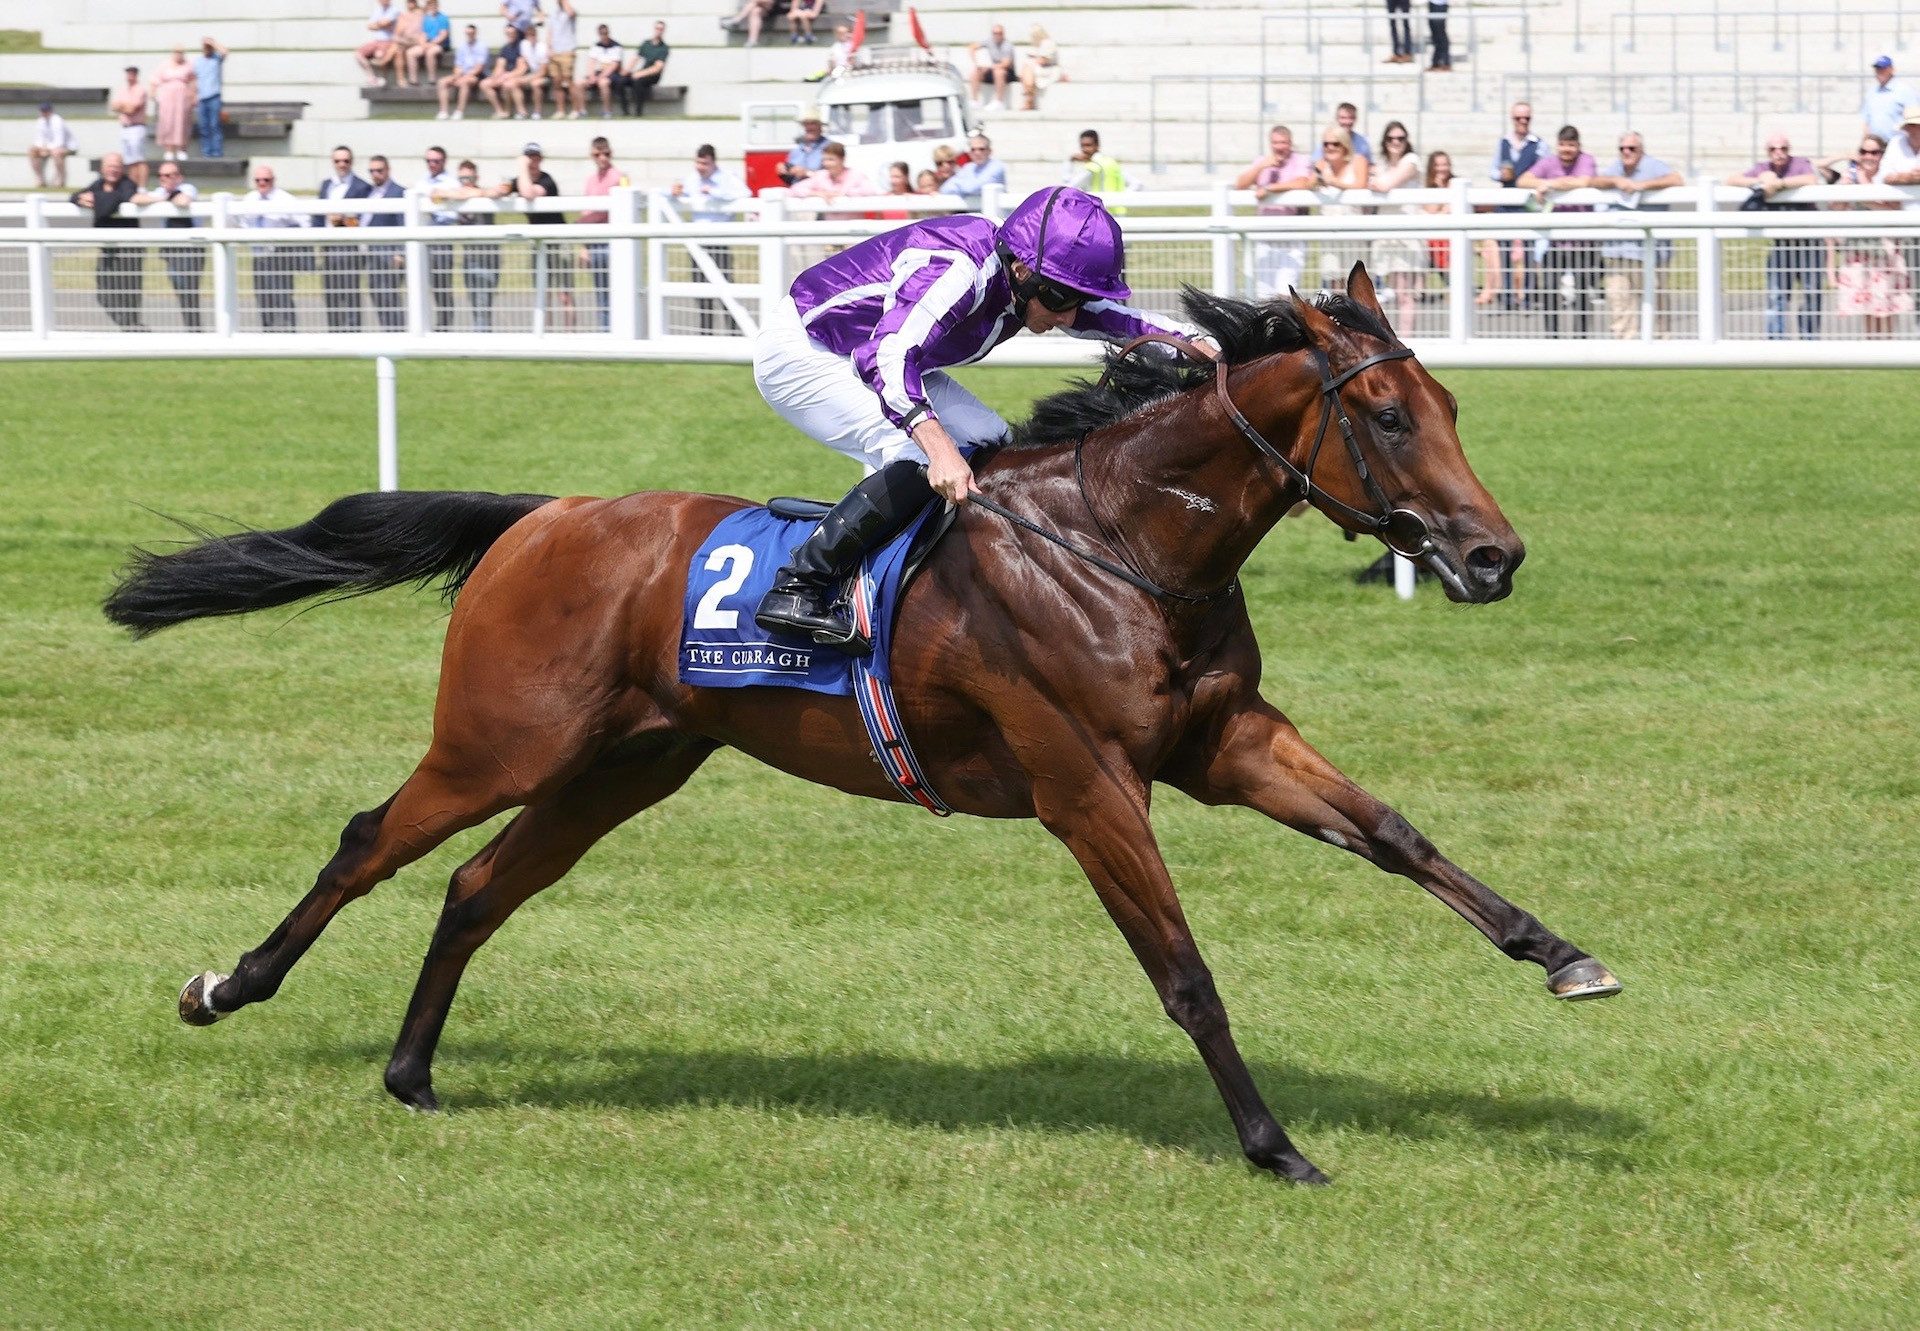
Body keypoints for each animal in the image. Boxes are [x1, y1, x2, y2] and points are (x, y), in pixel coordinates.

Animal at [108, 270, 1620, 1183]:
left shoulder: (1225, 740)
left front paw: (1564, 954)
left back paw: (414, 1071)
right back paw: (228, 985)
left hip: (627, 765)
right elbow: (1184, 970)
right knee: (371, 840)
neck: (1120, 542)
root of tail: (542, 514)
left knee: (480, 885)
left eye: (1449, 401)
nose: (1493, 557)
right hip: (502, 740)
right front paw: (1270, 1142)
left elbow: (1393, 831)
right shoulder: (1087, 782)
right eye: (1386, 412)